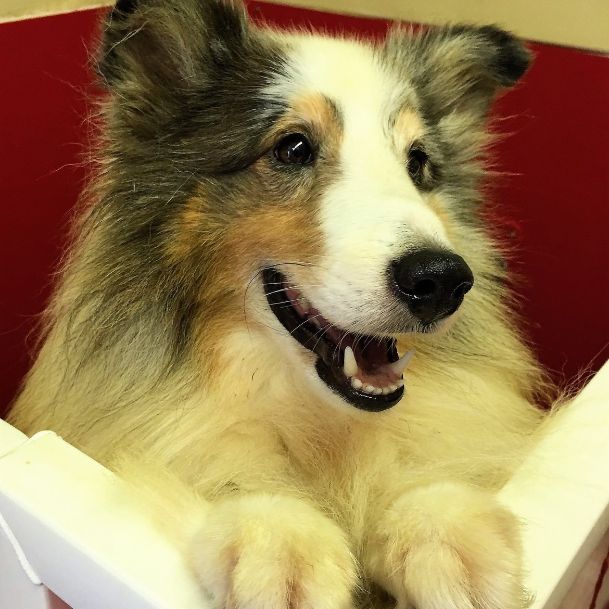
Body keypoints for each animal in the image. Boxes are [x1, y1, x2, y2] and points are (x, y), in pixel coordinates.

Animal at [8, 1, 552, 608]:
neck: (319, 422)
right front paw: (283, 553)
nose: (442, 280)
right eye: (293, 148)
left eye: (418, 162)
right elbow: (232, 472)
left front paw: (454, 546)